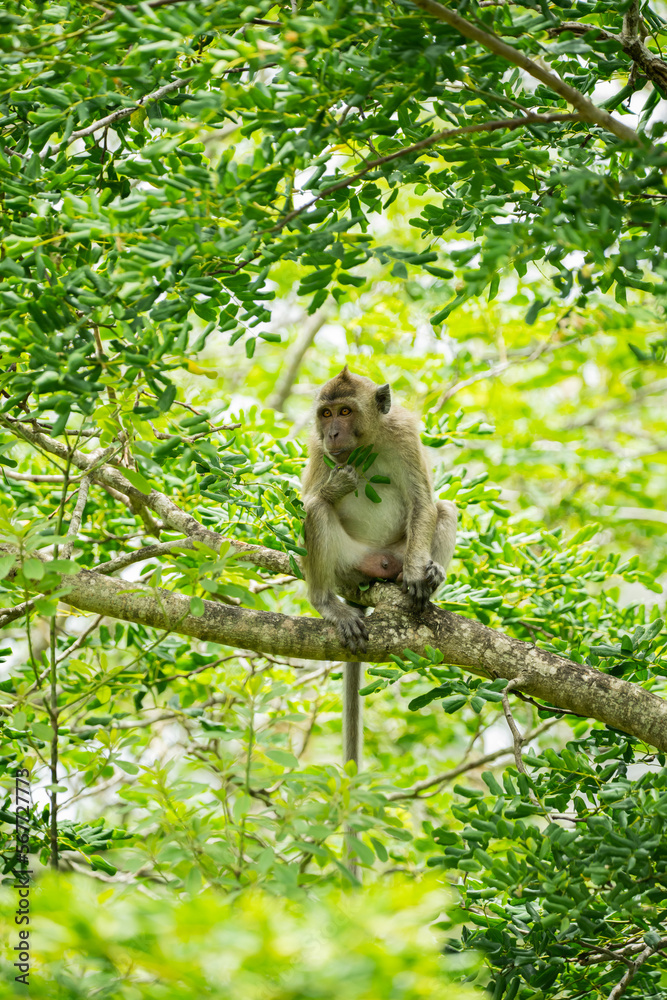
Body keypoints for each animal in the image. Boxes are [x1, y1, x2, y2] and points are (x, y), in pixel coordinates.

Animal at [302, 368, 460, 656]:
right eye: (326, 413)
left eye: (345, 411)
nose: (332, 434)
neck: (367, 444)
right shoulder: (319, 448)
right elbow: (303, 505)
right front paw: (337, 485)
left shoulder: (403, 433)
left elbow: (422, 502)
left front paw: (415, 573)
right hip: (348, 562)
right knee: (316, 510)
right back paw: (326, 603)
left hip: (397, 553)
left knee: (445, 508)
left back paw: (428, 576)